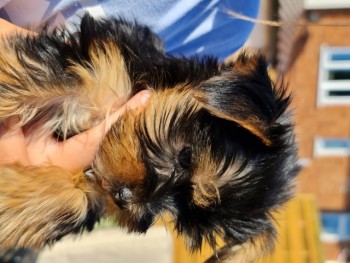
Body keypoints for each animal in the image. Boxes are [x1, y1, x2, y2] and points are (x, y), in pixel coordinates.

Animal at [0, 14, 300, 263]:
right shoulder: (100, 66)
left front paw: (9, 206)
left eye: (184, 219)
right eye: (186, 157)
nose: (122, 198)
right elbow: (39, 79)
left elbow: (79, 200)